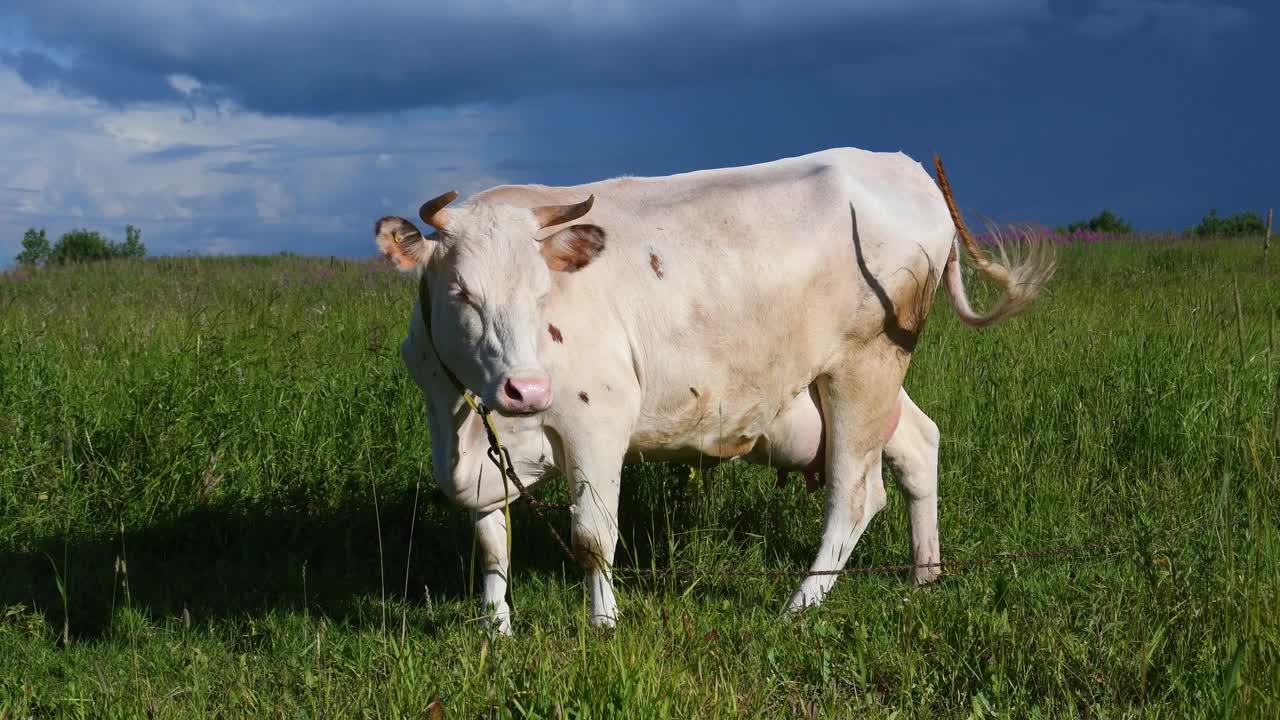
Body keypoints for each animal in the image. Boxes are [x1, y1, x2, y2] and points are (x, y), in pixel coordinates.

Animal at [373, 148, 1054, 630]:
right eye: (461, 292)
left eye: (543, 294)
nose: (527, 389)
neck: (464, 415)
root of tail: (901, 167)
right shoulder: (476, 447)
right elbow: (492, 544)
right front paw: (496, 630)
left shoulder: (599, 418)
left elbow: (593, 537)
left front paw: (603, 626)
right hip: (853, 382)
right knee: (918, 444)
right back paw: (925, 573)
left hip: (865, 365)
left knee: (855, 494)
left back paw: (799, 605)